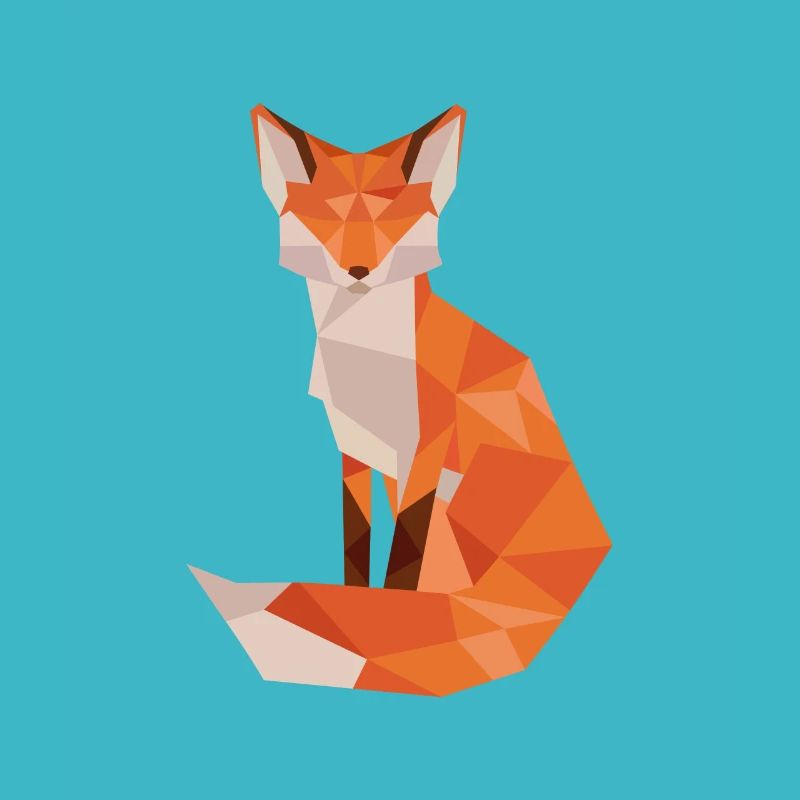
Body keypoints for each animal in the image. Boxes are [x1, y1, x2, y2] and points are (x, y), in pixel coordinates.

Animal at [190, 104, 611, 696]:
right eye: (328, 221)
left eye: (391, 221)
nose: (358, 271)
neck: (365, 355)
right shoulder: (354, 449)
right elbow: (357, 546)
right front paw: (357, 601)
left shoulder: (426, 450)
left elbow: (402, 561)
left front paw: (389, 613)